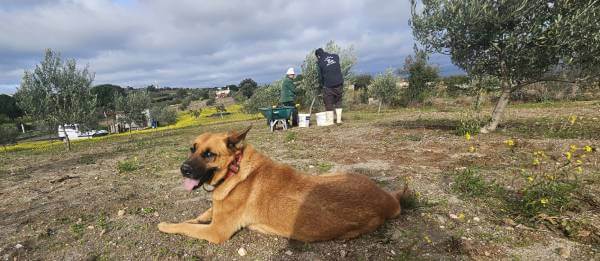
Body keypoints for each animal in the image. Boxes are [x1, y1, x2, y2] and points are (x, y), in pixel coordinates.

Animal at [157, 126, 410, 242]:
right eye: (192, 149)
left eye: (209, 154)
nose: (183, 169)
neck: (234, 170)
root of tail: (388, 200)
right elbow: (201, 214)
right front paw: (194, 217)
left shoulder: (216, 231)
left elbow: (185, 226)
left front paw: (166, 225)